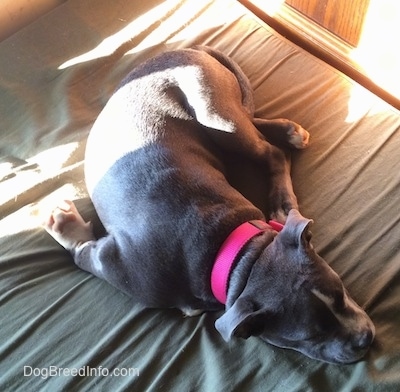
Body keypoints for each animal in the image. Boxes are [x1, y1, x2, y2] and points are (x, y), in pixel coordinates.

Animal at [46, 46, 376, 364]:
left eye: (341, 292)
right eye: (310, 337)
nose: (366, 340)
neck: (233, 251)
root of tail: (186, 49)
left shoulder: (111, 261)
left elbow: (80, 253)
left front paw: (64, 225)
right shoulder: (117, 264)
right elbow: (81, 252)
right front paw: (65, 224)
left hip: (216, 115)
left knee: (269, 148)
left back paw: (285, 175)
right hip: (221, 119)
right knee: (254, 124)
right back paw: (288, 131)